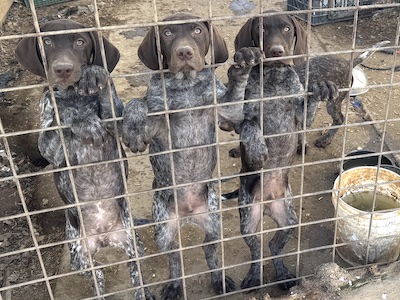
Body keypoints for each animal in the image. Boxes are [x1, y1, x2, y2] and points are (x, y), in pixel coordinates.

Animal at [15, 19, 154, 298]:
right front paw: (80, 119)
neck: (75, 96)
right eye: (47, 42)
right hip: (79, 258)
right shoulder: (50, 149)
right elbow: (60, 119)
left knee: (136, 272)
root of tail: (103, 236)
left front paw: (95, 75)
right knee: (96, 272)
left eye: (80, 41)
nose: (63, 69)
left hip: (133, 244)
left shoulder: (115, 119)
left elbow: (112, 98)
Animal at [122, 12, 264, 300]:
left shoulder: (226, 112)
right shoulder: (155, 125)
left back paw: (218, 278)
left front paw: (243, 64)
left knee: (208, 249)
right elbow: (138, 102)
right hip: (164, 229)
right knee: (174, 256)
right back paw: (175, 284)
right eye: (167, 34)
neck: (186, 84)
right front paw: (132, 124)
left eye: (197, 30)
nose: (184, 52)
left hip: (213, 222)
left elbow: (236, 95)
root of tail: (188, 214)